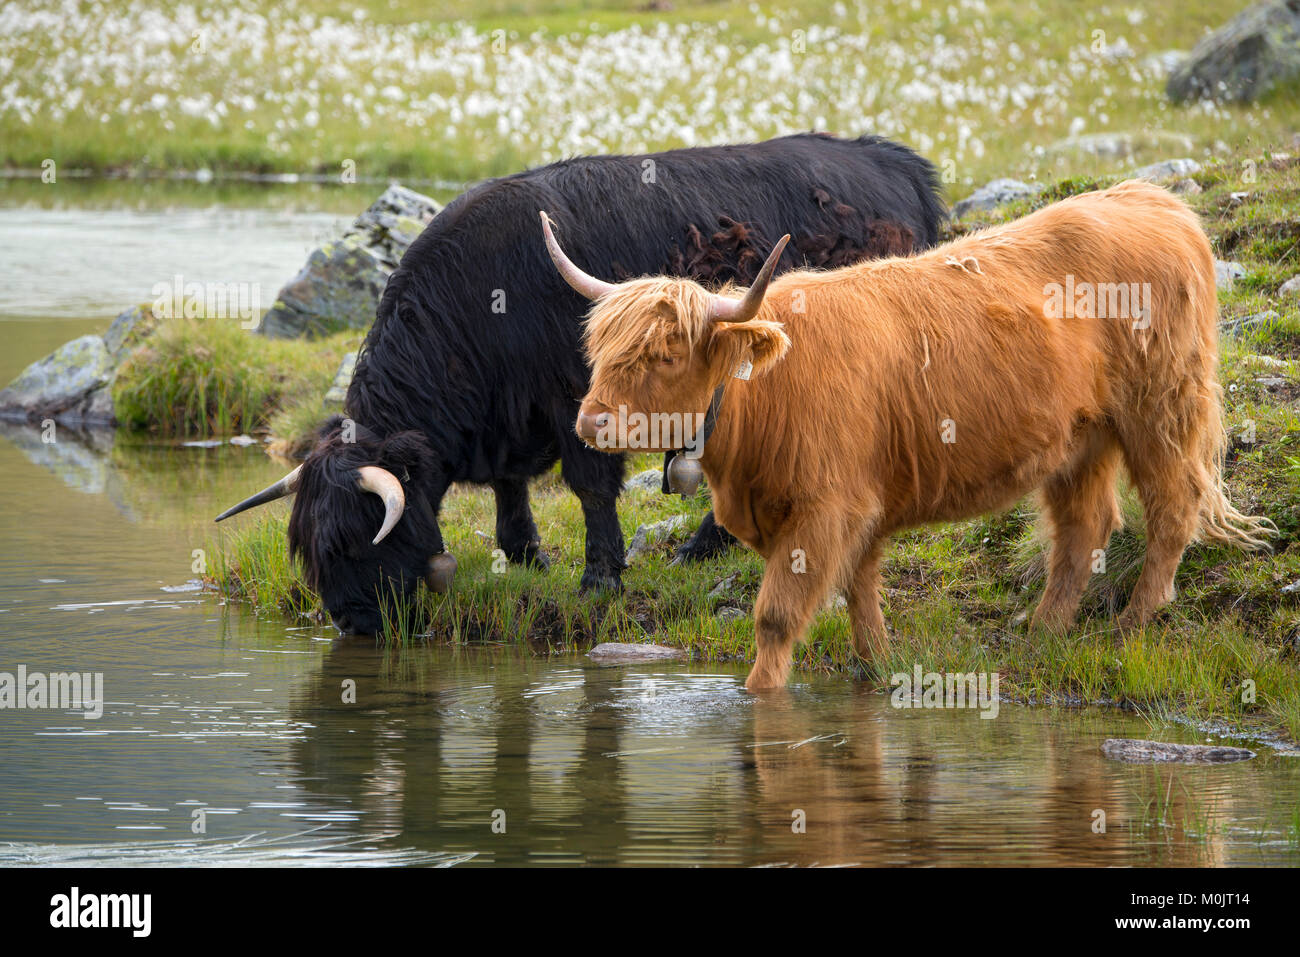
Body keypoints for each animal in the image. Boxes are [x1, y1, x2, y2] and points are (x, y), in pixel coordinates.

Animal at [213, 128, 946, 634]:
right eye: (308, 550)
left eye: (351, 539)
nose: (351, 622)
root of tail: (892, 161)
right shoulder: (506, 423)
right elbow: (511, 489)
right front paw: (526, 555)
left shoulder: (578, 402)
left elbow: (591, 484)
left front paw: (599, 576)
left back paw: (701, 548)